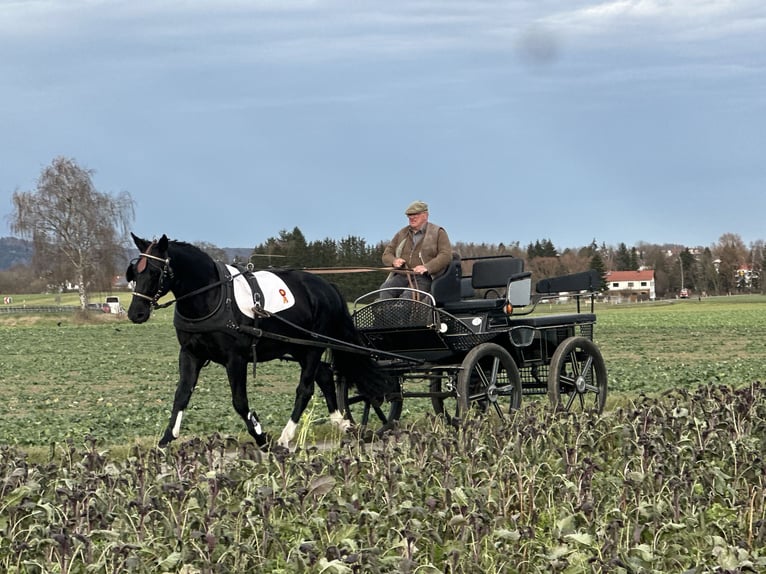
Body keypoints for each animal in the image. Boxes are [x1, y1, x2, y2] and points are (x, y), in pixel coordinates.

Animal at [127, 234, 396, 450]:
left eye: (154, 272)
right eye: (135, 272)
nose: (135, 313)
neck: (212, 295)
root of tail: (325, 285)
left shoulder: (236, 359)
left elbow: (239, 402)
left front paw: (260, 435)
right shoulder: (190, 353)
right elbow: (181, 395)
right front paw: (165, 441)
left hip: (312, 347)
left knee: (306, 389)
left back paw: (286, 436)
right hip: (298, 347)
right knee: (326, 377)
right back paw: (342, 423)